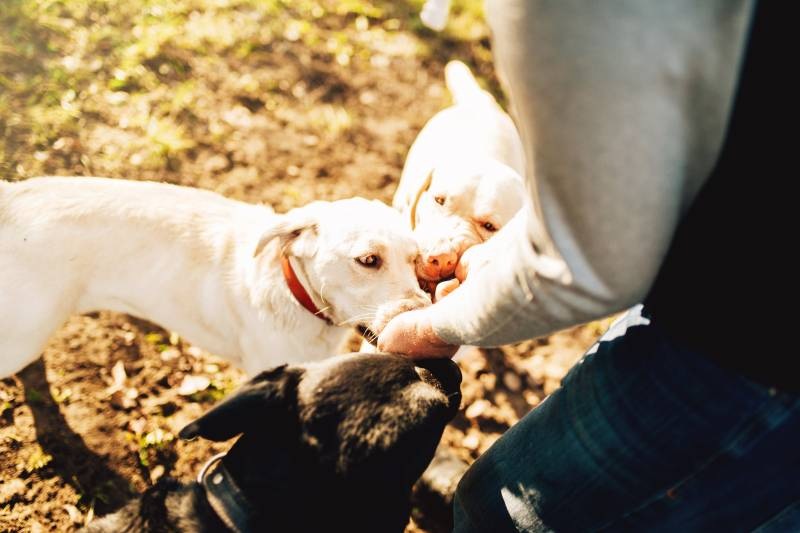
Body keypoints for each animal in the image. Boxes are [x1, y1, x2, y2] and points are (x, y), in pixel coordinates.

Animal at [1, 177, 432, 376]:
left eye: (416, 261)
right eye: (368, 260)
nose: (419, 313)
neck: (295, 296)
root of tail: (10, 197)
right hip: (21, 339)